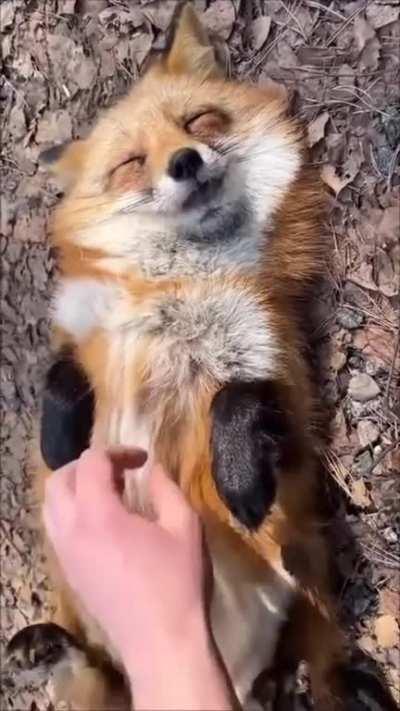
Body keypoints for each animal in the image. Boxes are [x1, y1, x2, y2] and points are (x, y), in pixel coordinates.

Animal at [6, 5, 396, 711]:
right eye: (132, 163)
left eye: (199, 123)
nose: (185, 162)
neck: (174, 292)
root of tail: (240, 677)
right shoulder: (84, 324)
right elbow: (60, 373)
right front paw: (58, 437)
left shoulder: (283, 383)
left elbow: (239, 398)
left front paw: (238, 479)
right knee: (96, 672)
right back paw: (48, 648)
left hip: (302, 577)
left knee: (310, 656)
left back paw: (307, 682)